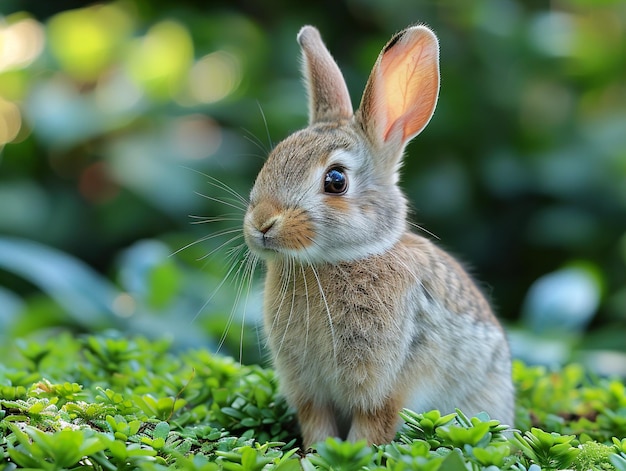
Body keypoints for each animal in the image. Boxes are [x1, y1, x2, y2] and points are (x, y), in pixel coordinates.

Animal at [240, 24, 512, 448]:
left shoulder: (384, 387)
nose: (262, 224)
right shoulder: (309, 390)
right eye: (273, 159)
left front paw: (346, 455)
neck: (337, 260)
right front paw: (315, 454)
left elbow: (371, 428)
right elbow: (316, 423)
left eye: (336, 180)